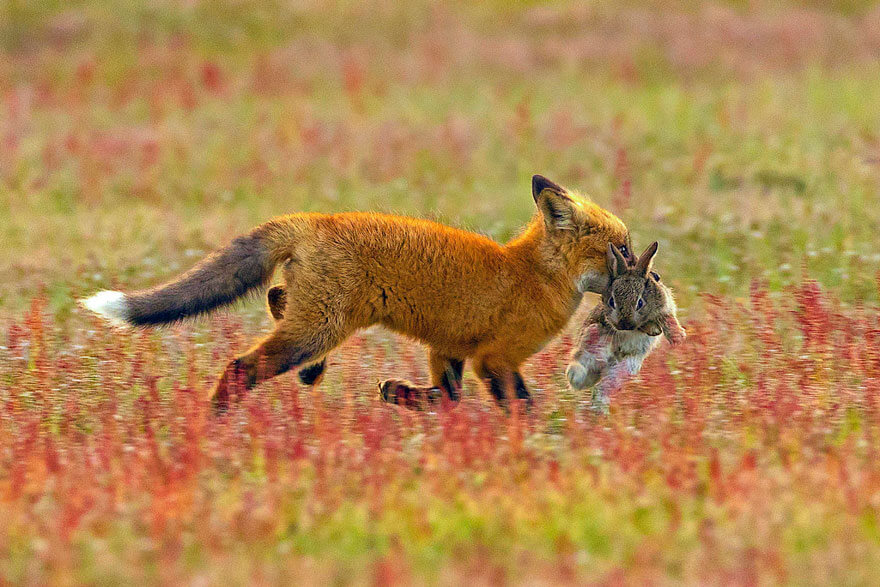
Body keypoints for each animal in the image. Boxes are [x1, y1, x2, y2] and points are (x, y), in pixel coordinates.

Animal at [81, 175, 632, 414]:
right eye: (621, 249)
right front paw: (538, 447)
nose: (646, 272)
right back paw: (215, 418)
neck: (533, 273)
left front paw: (403, 396)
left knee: (277, 296)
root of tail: (315, 219)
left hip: (317, 317)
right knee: (242, 365)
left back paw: (311, 373)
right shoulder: (495, 359)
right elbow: (518, 406)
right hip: (319, 326)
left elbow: (447, 398)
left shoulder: (449, 348)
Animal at [564, 240, 688, 414]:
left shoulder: (664, 307)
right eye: (612, 301)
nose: (624, 324)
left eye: (640, 302)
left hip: (626, 368)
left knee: (604, 387)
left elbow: (668, 320)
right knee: (581, 366)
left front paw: (677, 338)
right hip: (591, 338)